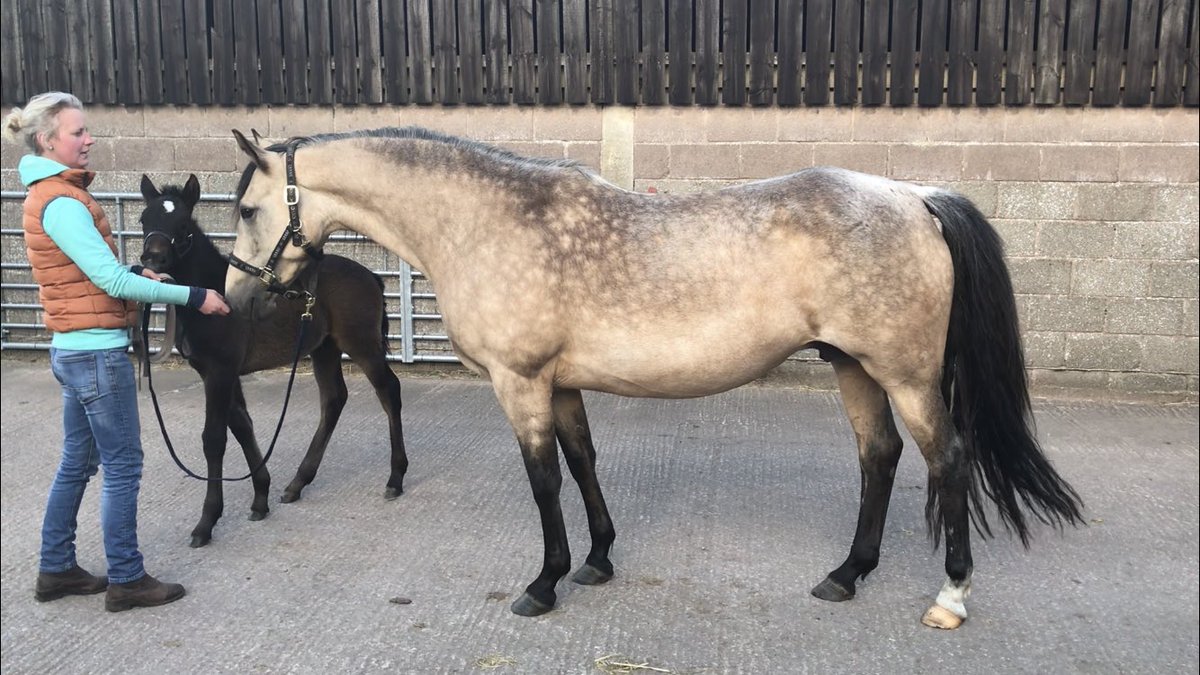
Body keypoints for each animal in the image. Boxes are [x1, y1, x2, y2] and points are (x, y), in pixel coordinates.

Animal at [138, 174, 408, 548]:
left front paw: (206, 523)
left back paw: (395, 478)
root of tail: (370, 276)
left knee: (388, 392)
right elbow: (242, 426)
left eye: (182, 225)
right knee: (334, 399)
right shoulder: (219, 373)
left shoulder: (219, 372)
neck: (211, 294)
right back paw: (297, 483)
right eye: (143, 220)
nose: (153, 259)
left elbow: (214, 439)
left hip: (361, 344)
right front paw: (260, 498)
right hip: (323, 347)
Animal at [221, 127, 1083, 629]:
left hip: (903, 375)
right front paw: (598, 559)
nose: (238, 297)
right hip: (854, 367)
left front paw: (545, 582)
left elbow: (544, 480)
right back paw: (847, 574)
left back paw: (950, 596)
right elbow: (582, 463)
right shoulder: (561, 383)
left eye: (249, 209)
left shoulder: (521, 382)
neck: (491, 220)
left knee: (948, 460)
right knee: (880, 458)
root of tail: (915, 195)